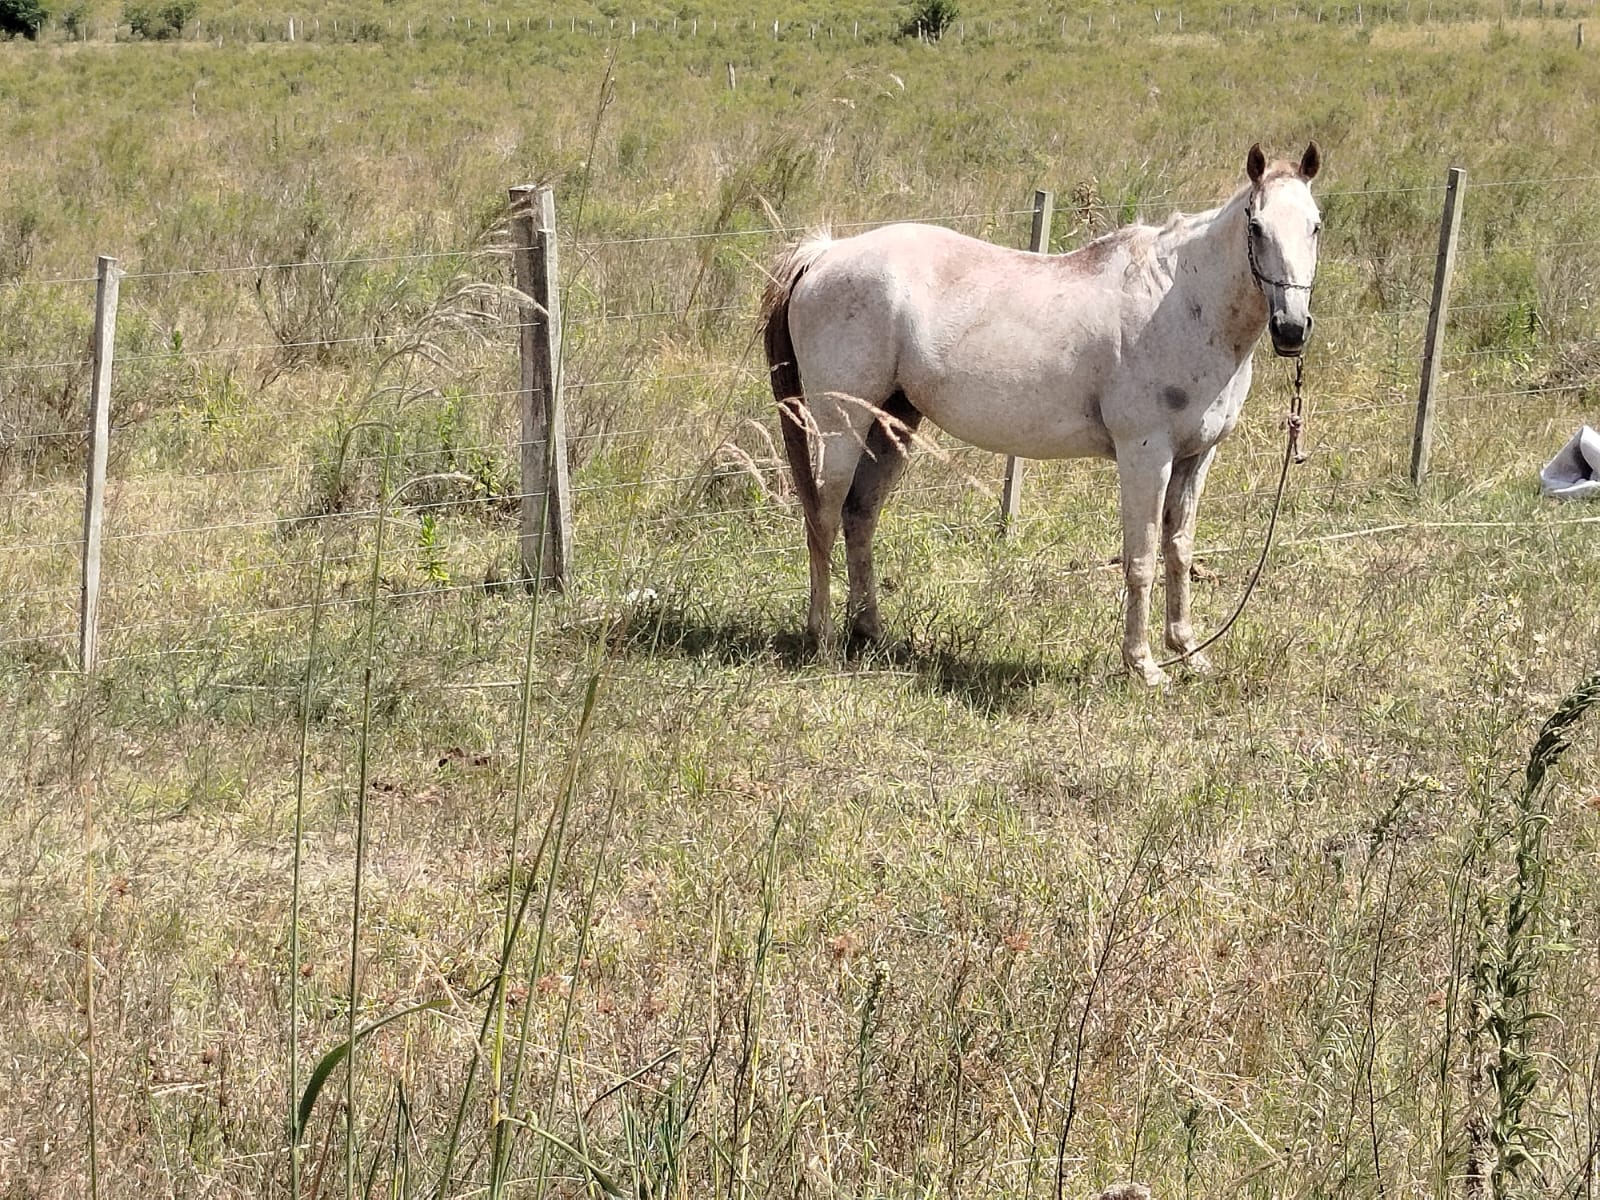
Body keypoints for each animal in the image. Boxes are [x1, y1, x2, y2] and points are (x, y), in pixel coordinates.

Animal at [761, 142, 1324, 684]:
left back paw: (870, 633)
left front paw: (1187, 653)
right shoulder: (1146, 455)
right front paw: (1143, 666)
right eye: (1256, 226)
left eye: (1316, 225)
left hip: (891, 422)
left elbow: (1179, 552)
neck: (1182, 300)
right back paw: (823, 641)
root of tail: (825, 254)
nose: (1291, 329)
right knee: (823, 517)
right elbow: (1141, 558)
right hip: (840, 425)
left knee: (859, 515)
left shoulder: (1195, 459)